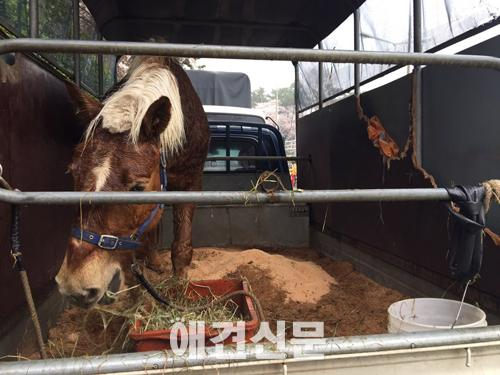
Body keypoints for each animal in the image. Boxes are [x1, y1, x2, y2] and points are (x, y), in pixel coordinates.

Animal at [54, 55, 209, 308]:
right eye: (72, 172)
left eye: (137, 187)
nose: (75, 286)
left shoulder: (191, 183)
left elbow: (182, 247)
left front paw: (180, 291)